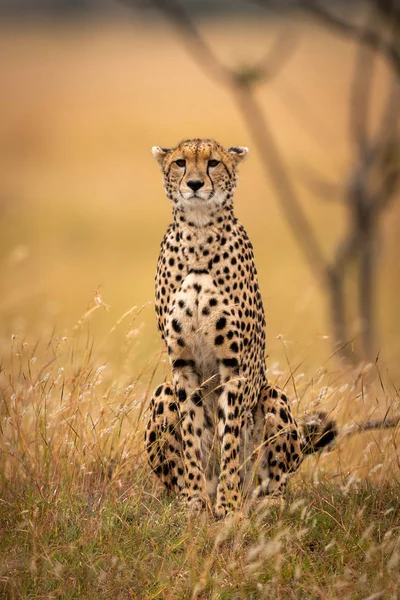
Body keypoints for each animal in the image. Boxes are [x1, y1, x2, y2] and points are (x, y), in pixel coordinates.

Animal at [142, 138, 336, 516]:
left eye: (214, 163)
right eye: (181, 163)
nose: (195, 184)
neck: (199, 234)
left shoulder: (235, 366)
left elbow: (229, 437)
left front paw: (228, 505)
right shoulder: (183, 364)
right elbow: (193, 436)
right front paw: (195, 500)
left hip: (272, 396)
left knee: (272, 480)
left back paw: (262, 501)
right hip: (163, 392)